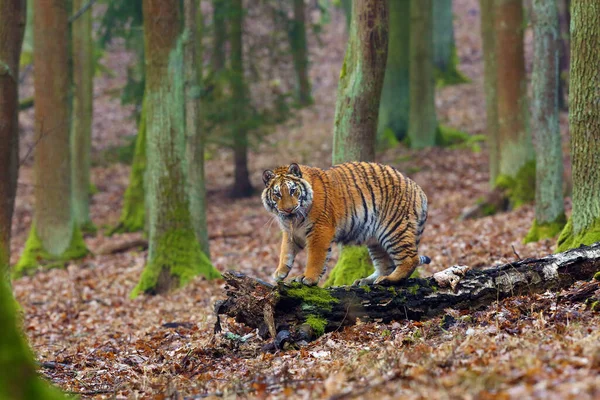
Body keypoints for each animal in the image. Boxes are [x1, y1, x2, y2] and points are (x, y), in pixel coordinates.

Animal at [260, 161, 428, 286]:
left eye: (292, 190)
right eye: (277, 194)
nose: (288, 209)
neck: (293, 220)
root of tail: (417, 188)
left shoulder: (319, 229)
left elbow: (315, 257)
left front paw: (309, 278)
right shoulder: (291, 233)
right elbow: (285, 251)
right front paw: (279, 273)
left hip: (393, 229)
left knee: (410, 259)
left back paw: (389, 279)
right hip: (376, 240)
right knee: (385, 265)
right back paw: (366, 280)